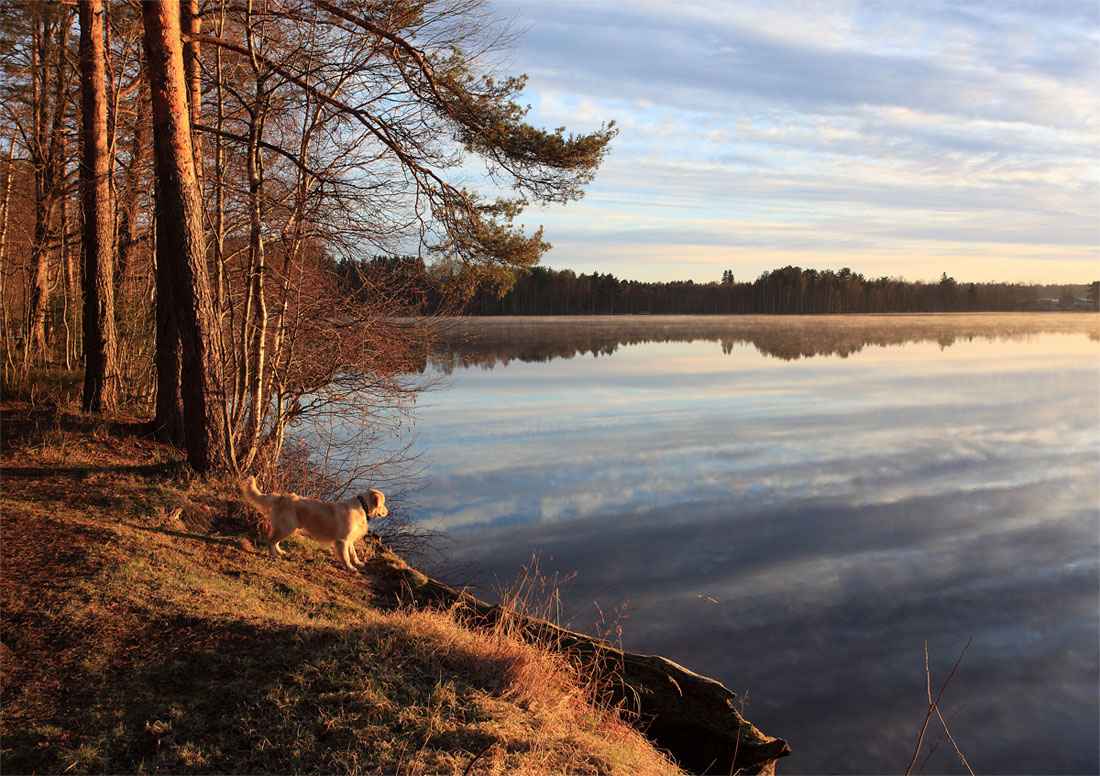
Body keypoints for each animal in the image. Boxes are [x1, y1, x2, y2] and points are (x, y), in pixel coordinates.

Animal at [240, 475, 391, 572]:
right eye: (383, 503)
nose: (387, 512)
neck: (362, 506)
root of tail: (281, 497)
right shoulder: (342, 540)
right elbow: (346, 556)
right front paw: (350, 568)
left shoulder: (349, 539)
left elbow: (353, 553)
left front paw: (358, 563)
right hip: (287, 527)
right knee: (270, 541)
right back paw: (274, 555)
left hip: (288, 528)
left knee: (275, 541)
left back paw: (280, 552)